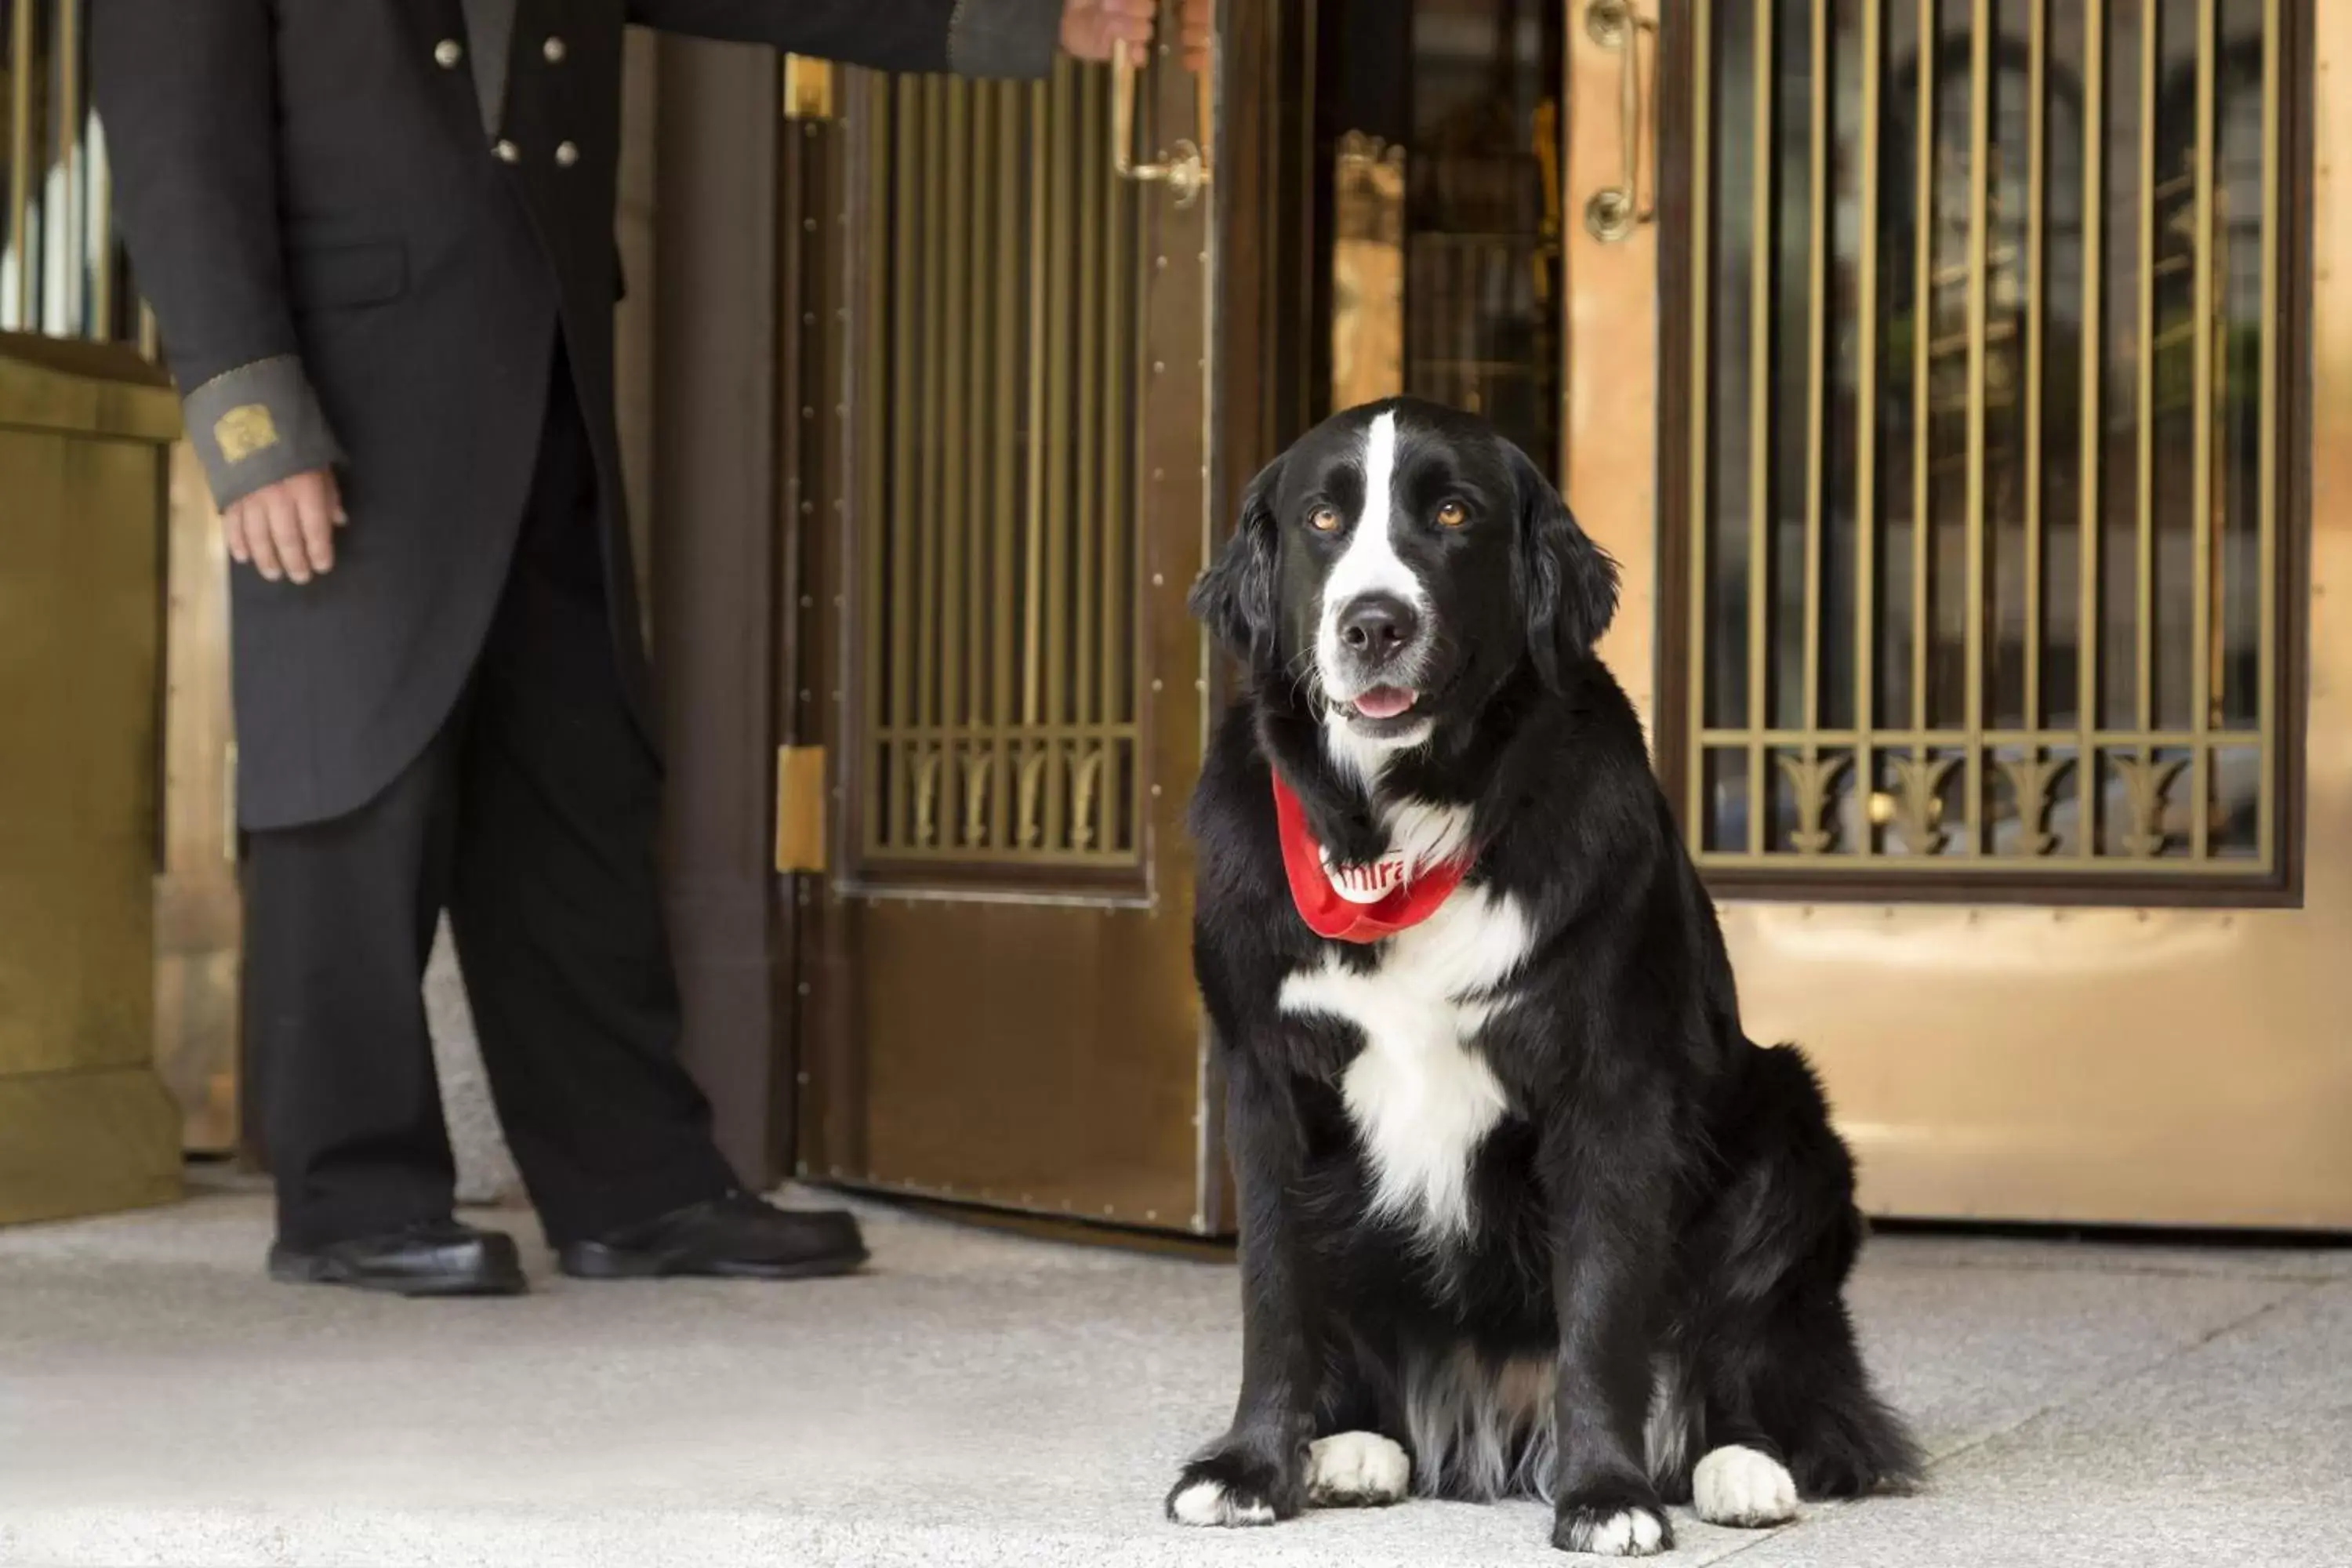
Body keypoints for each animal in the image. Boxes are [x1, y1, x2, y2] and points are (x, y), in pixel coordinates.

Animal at [1167, 399, 1919, 1552]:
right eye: (1325, 518)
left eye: (1451, 513)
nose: (1374, 624)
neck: (1406, 825)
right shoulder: (1265, 1081)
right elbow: (1273, 1291)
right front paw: (1250, 1466)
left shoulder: (1610, 1084)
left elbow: (1603, 1308)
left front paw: (1606, 1491)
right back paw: (1354, 1447)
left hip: (1790, 1130)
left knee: (1740, 1351)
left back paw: (1741, 1468)